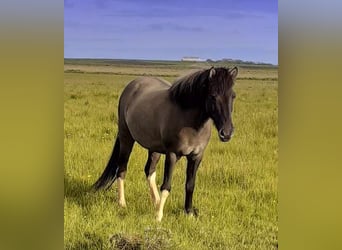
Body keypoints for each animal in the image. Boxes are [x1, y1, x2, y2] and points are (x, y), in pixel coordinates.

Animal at [93, 66, 238, 221]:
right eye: (213, 96)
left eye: (233, 96)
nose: (227, 133)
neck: (190, 122)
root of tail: (132, 85)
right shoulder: (172, 154)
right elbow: (166, 185)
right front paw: (159, 217)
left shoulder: (196, 156)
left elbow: (190, 185)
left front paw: (189, 213)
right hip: (127, 138)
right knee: (122, 169)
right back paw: (122, 203)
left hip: (154, 148)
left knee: (149, 171)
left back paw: (156, 202)